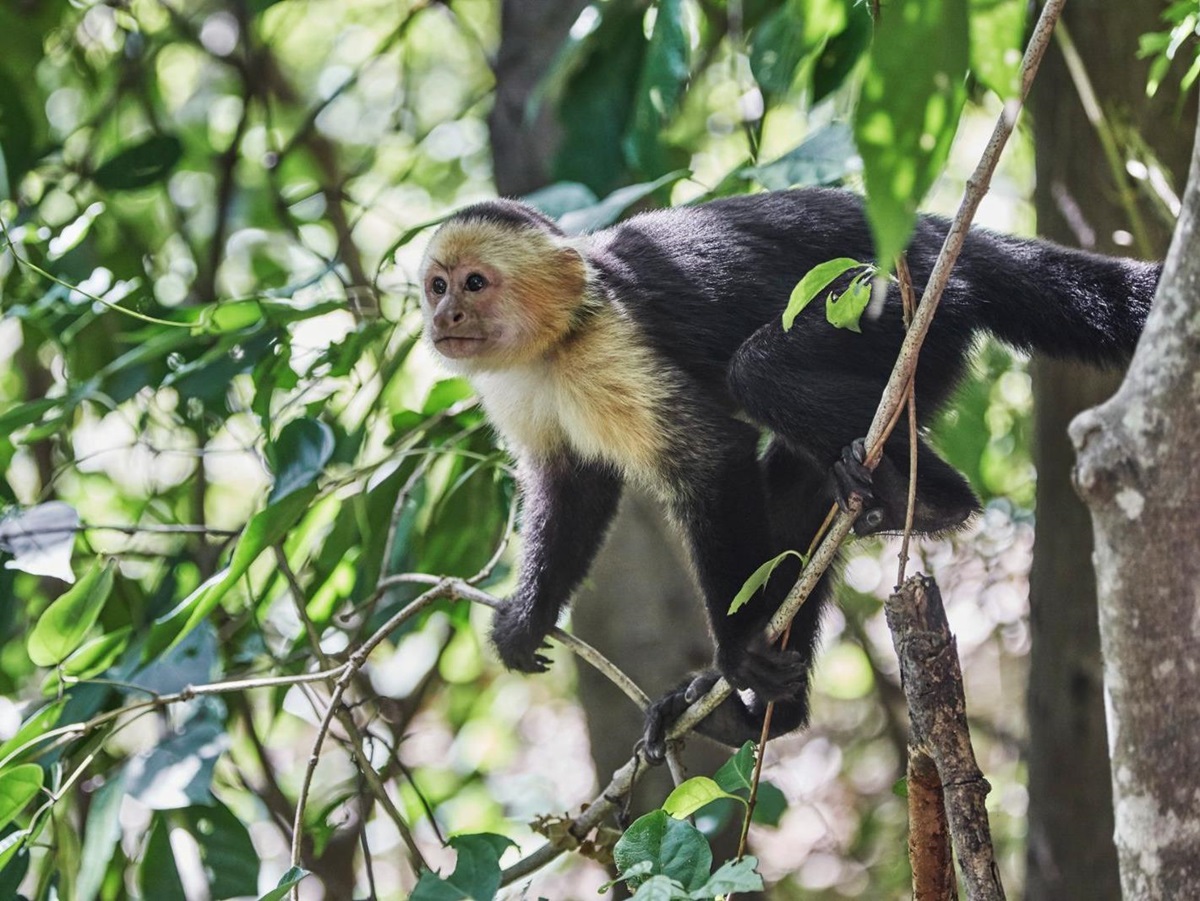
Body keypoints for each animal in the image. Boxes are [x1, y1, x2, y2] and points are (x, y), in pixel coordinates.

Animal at [417, 188, 1157, 763]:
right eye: (437, 284)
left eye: (475, 283)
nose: (443, 317)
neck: (555, 341)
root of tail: (941, 233)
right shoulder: (520, 388)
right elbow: (572, 488)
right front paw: (527, 618)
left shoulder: (611, 346)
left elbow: (714, 459)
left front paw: (739, 646)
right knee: (795, 492)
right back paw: (759, 713)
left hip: (908, 306)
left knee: (761, 370)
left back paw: (937, 501)